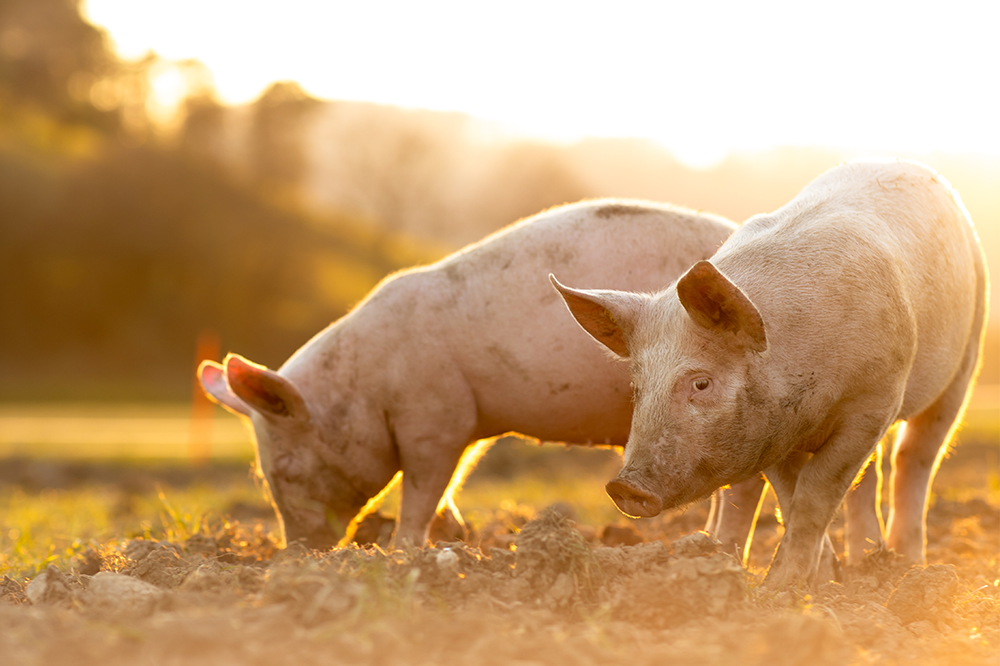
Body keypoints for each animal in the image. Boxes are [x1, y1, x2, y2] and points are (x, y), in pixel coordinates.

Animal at [197, 199, 745, 548]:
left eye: (287, 470)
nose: (297, 552)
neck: (367, 388)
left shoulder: (435, 419)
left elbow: (424, 486)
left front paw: (403, 551)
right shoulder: (466, 424)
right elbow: (452, 483)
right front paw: (458, 539)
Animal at [552, 161, 988, 587]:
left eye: (701, 382)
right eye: (637, 385)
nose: (624, 486)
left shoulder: (873, 403)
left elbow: (816, 491)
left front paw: (784, 589)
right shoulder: (771, 429)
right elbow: (791, 496)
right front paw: (807, 583)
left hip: (965, 357)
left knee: (914, 458)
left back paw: (907, 565)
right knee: (870, 477)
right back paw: (866, 563)